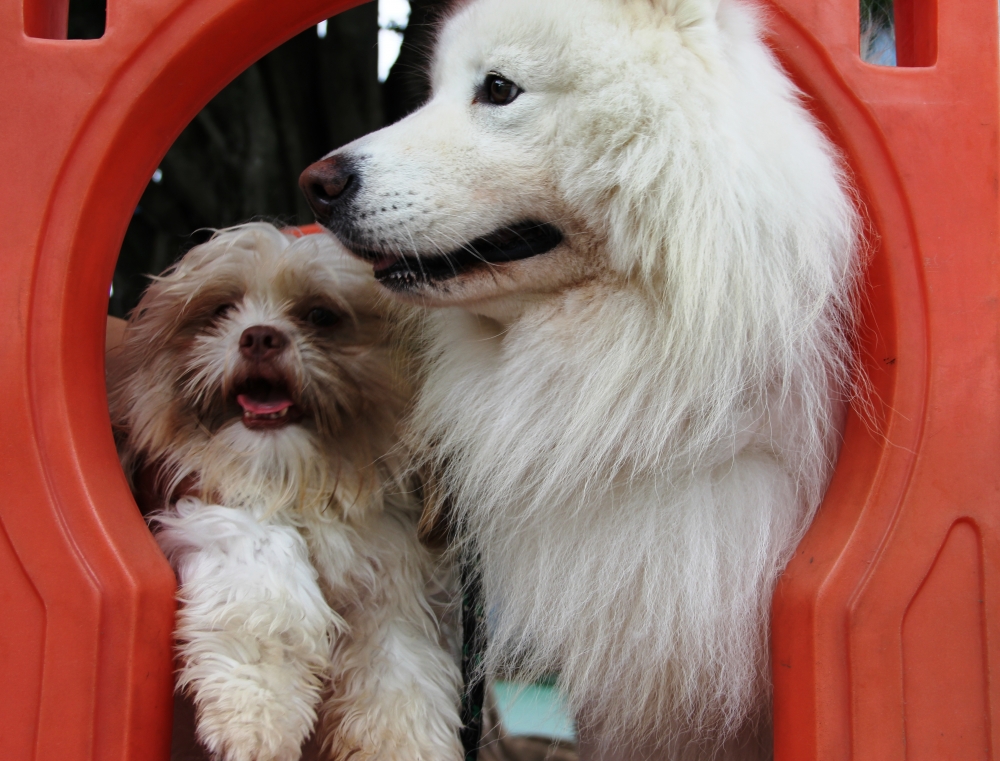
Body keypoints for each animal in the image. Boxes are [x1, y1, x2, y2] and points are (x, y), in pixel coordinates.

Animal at [103, 224, 462, 760]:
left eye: (320, 315)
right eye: (222, 308)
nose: (259, 336)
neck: (298, 482)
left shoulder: (392, 577)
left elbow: (400, 671)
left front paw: (403, 741)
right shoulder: (223, 513)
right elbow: (266, 600)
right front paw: (256, 709)